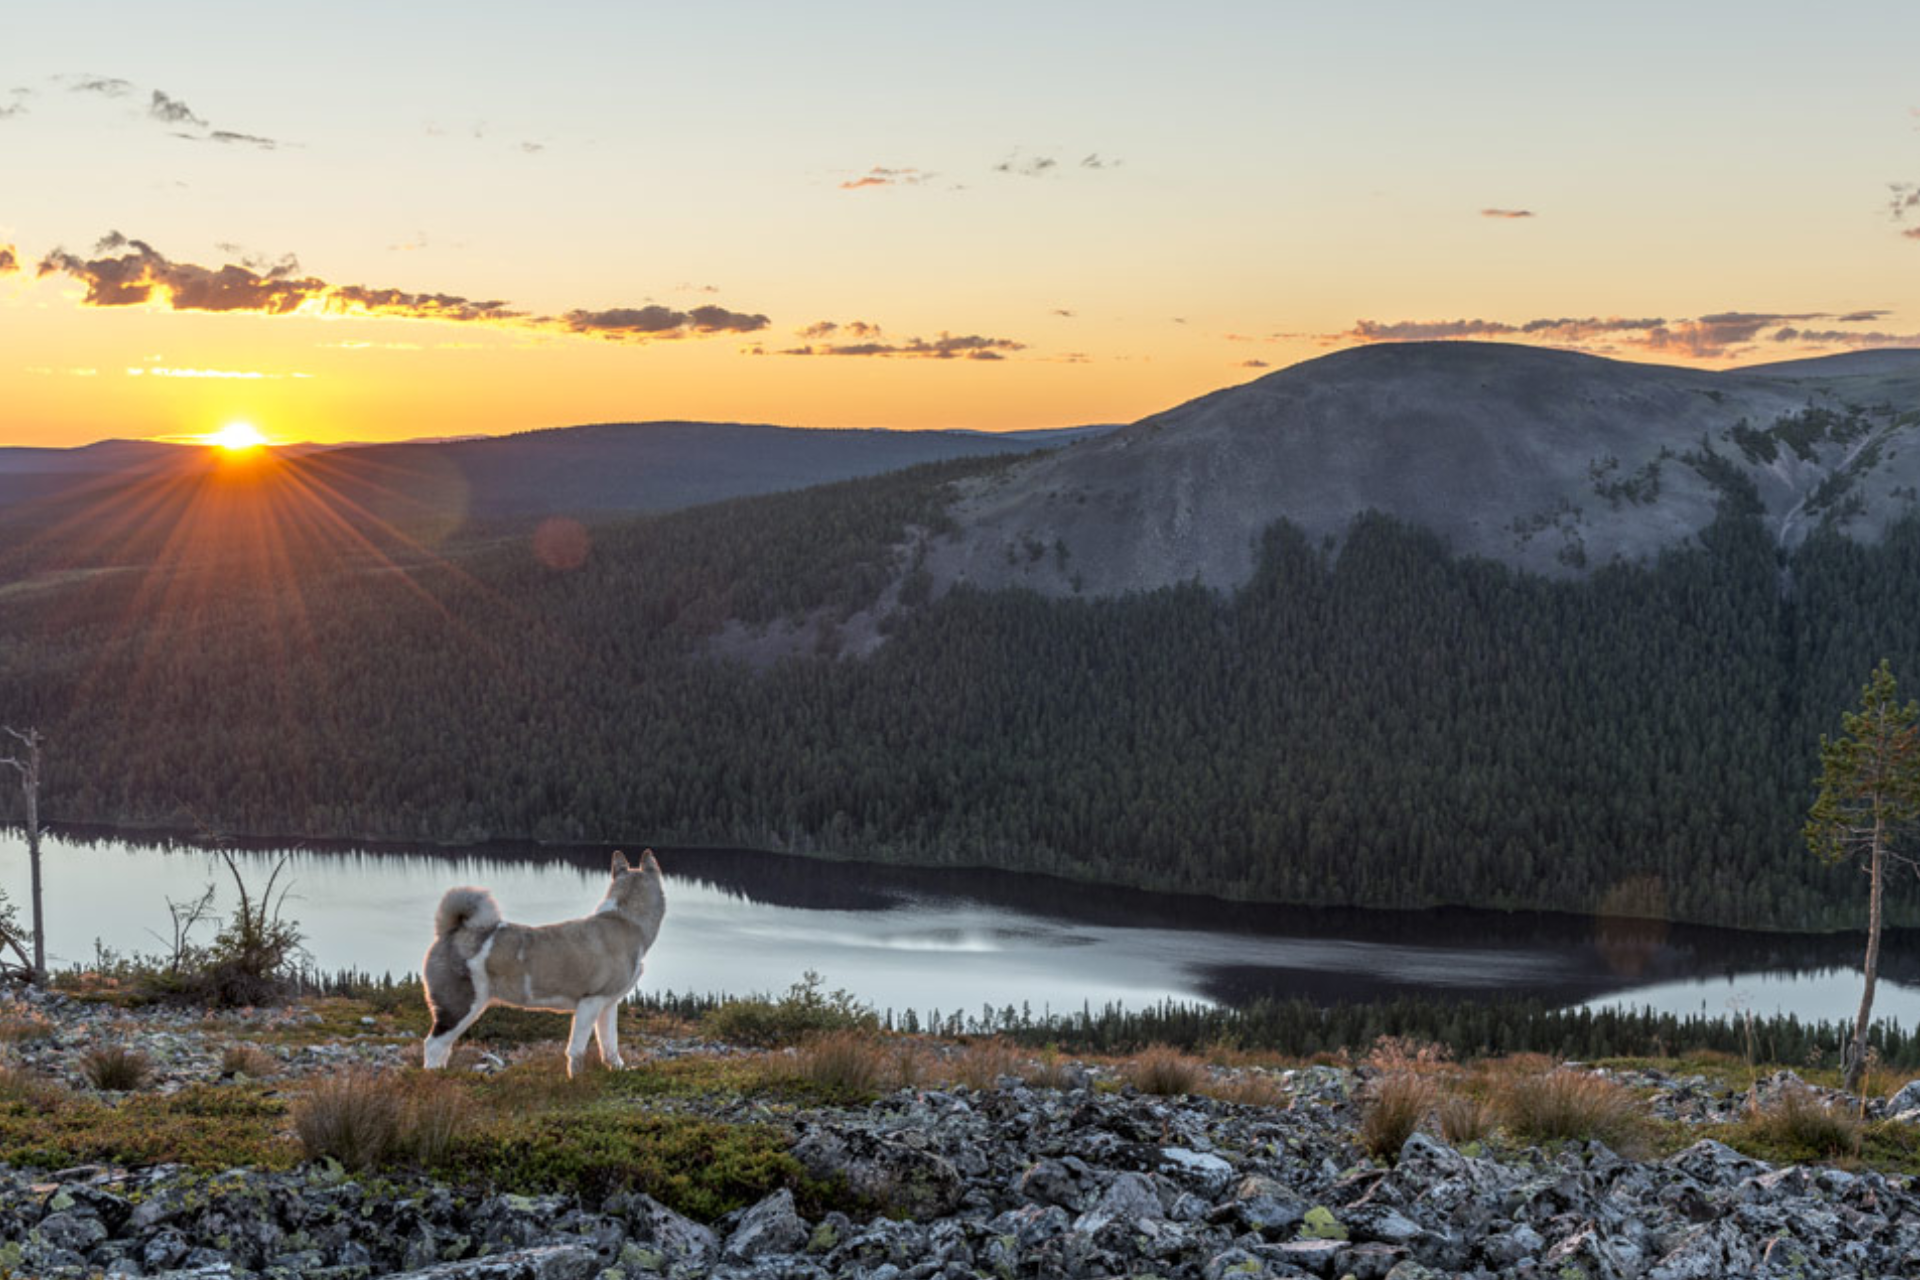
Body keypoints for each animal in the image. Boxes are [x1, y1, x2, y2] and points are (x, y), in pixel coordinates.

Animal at [422, 852, 668, 1082]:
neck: (625, 919)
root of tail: (451, 931)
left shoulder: (607, 1004)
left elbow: (610, 1045)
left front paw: (618, 1070)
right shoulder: (590, 1003)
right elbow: (577, 1049)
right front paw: (577, 1080)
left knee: (444, 1047)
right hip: (461, 1005)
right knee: (434, 1044)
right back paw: (434, 1078)